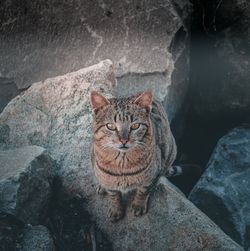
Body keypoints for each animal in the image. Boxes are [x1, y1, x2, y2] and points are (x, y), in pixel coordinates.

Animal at [90, 89, 180, 222]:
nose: (123, 140)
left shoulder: (150, 177)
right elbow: (114, 195)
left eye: (135, 126)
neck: (123, 165)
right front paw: (116, 210)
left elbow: (143, 191)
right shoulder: (109, 182)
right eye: (110, 126)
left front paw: (138, 205)